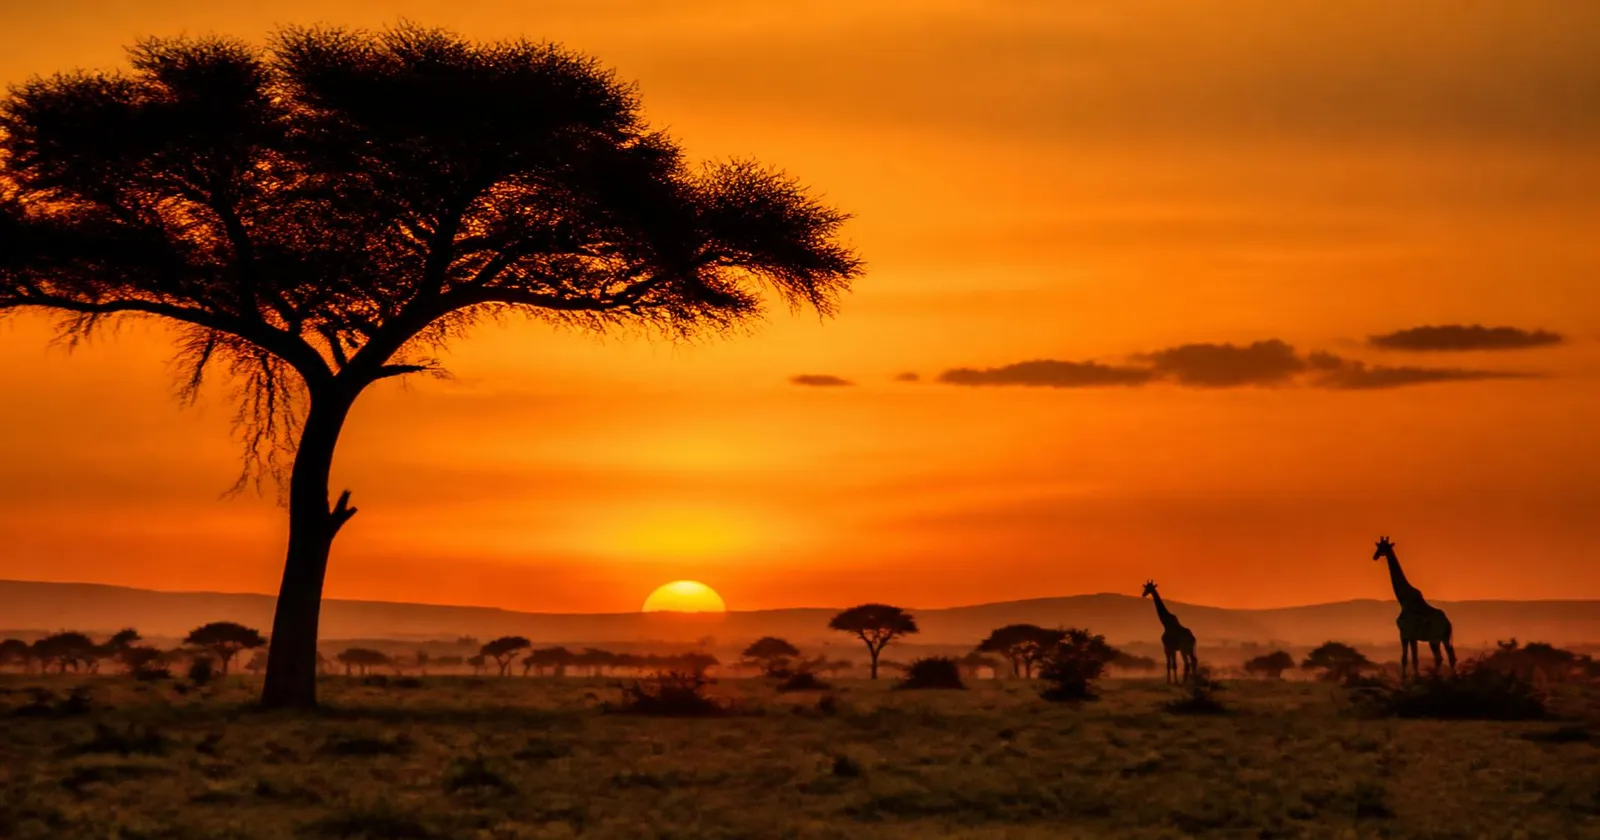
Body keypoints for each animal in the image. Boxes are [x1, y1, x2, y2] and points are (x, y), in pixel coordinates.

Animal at [1373, 536, 1456, 680]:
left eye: (1383, 547)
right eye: (1378, 546)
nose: (1375, 556)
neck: (1402, 599)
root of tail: (1448, 623)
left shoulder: (1404, 633)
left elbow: (1405, 659)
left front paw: (1405, 680)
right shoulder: (1413, 637)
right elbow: (1414, 658)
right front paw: (1415, 677)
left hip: (1434, 640)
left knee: (1439, 658)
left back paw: (1434, 677)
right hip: (1444, 639)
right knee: (1450, 656)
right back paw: (1452, 677)